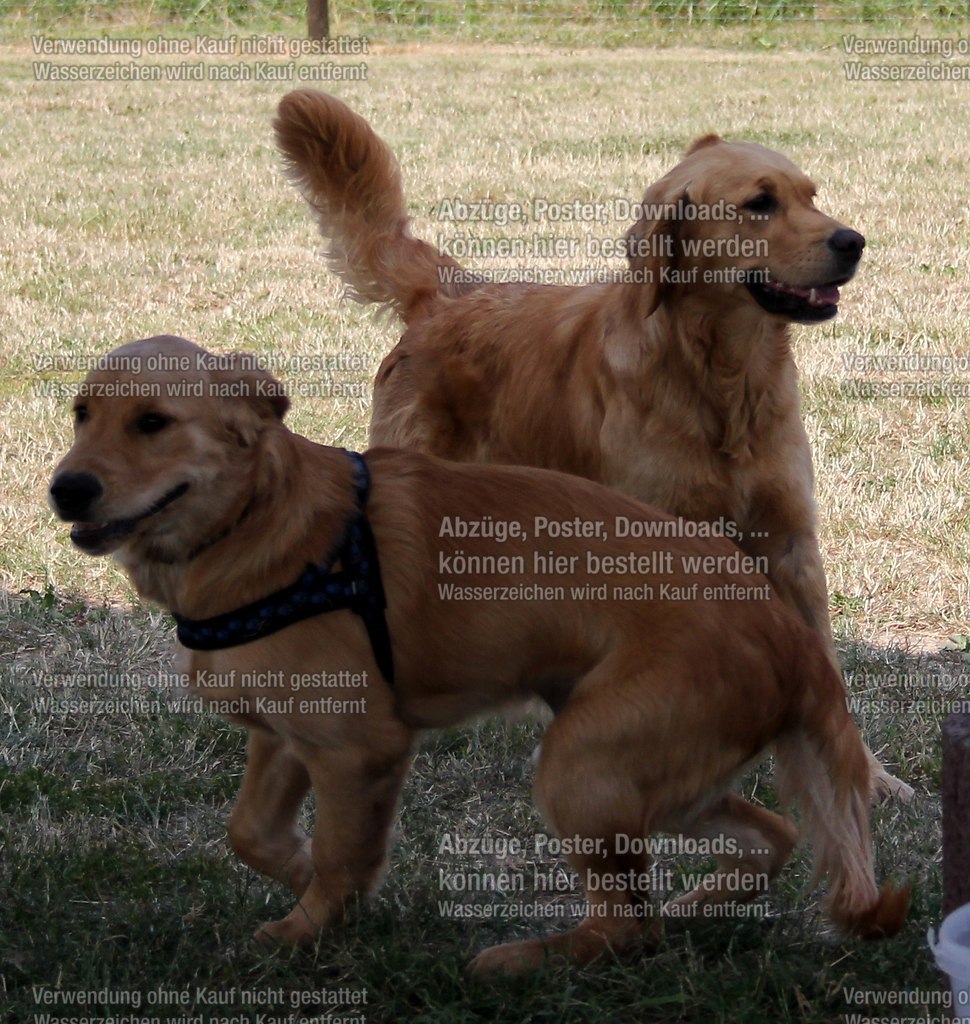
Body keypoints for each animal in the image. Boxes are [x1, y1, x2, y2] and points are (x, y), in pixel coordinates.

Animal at [49, 335, 907, 973]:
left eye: (153, 422)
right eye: (81, 414)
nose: (66, 490)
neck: (257, 520)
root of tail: (793, 638)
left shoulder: (360, 747)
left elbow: (337, 854)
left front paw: (314, 925)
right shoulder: (287, 736)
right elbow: (252, 832)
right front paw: (329, 887)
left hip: (582, 766)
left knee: (628, 927)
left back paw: (523, 957)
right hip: (656, 776)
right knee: (768, 837)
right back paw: (697, 906)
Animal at [273, 89, 912, 803]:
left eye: (811, 196)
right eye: (760, 204)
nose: (853, 242)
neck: (719, 378)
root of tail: (446, 294)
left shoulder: (791, 543)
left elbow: (826, 669)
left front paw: (867, 778)